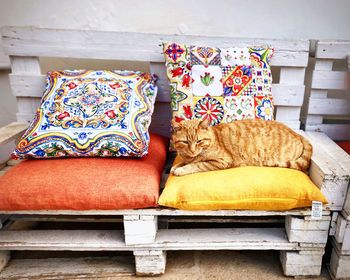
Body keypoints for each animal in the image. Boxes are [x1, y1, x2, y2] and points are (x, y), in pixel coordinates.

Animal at [171, 117, 314, 175]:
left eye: (199, 141)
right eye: (185, 142)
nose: (192, 150)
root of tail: (297, 133)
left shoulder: (221, 161)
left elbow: (196, 165)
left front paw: (181, 170)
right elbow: (182, 163)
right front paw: (176, 166)